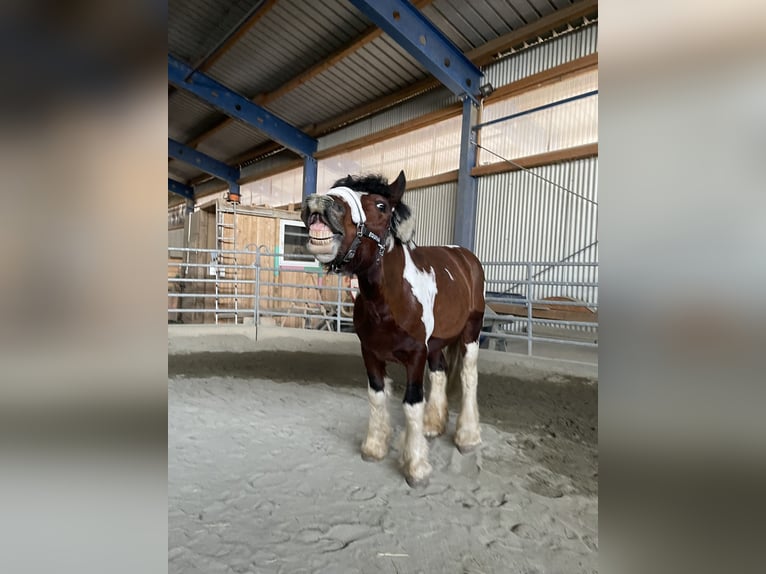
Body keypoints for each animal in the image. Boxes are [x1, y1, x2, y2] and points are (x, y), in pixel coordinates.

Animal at [302, 172, 486, 490]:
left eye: (381, 205)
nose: (319, 203)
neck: (390, 301)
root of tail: (465, 257)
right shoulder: (370, 352)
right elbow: (377, 396)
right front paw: (374, 448)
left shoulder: (415, 355)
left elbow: (412, 403)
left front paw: (417, 468)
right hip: (437, 344)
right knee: (439, 373)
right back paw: (432, 425)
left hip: (471, 333)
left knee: (468, 376)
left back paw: (467, 437)